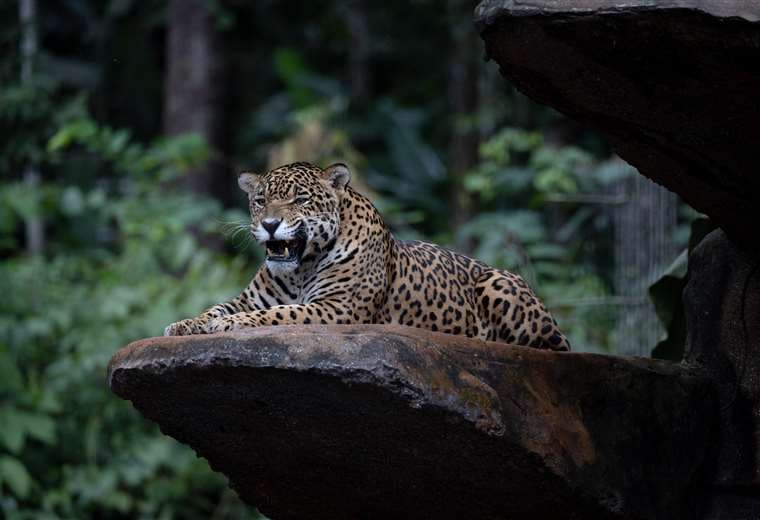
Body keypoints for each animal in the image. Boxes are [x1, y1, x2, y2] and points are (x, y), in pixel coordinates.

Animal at [164, 161, 571, 351]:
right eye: (261, 199)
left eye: (300, 199)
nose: (269, 223)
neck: (299, 269)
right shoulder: (248, 298)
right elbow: (217, 308)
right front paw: (184, 324)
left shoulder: (337, 308)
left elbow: (278, 314)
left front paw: (228, 326)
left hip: (501, 284)